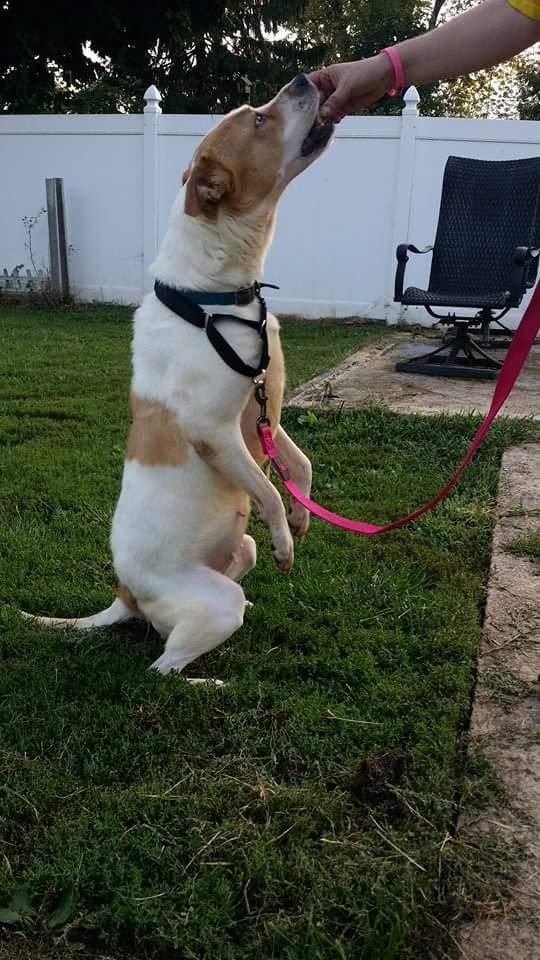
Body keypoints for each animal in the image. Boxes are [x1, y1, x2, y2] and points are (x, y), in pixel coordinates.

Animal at [24, 73, 334, 676]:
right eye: (258, 119)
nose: (306, 78)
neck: (213, 295)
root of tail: (124, 595)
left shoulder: (264, 412)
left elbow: (298, 465)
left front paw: (302, 515)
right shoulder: (214, 432)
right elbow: (266, 488)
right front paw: (287, 538)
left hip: (237, 556)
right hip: (213, 607)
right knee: (160, 671)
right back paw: (209, 683)